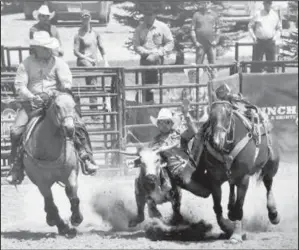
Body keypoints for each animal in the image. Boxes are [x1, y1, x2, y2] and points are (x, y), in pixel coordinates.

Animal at [197, 100, 282, 243]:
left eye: (228, 114)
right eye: (210, 115)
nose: (216, 141)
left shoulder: (243, 179)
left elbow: (239, 208)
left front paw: (236, 235)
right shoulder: (214, 179)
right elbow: (217, 208)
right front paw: (227, 226)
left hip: (271, 166)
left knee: (268, 184)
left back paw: (273, 214)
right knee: (232, 185)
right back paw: (230, 209)